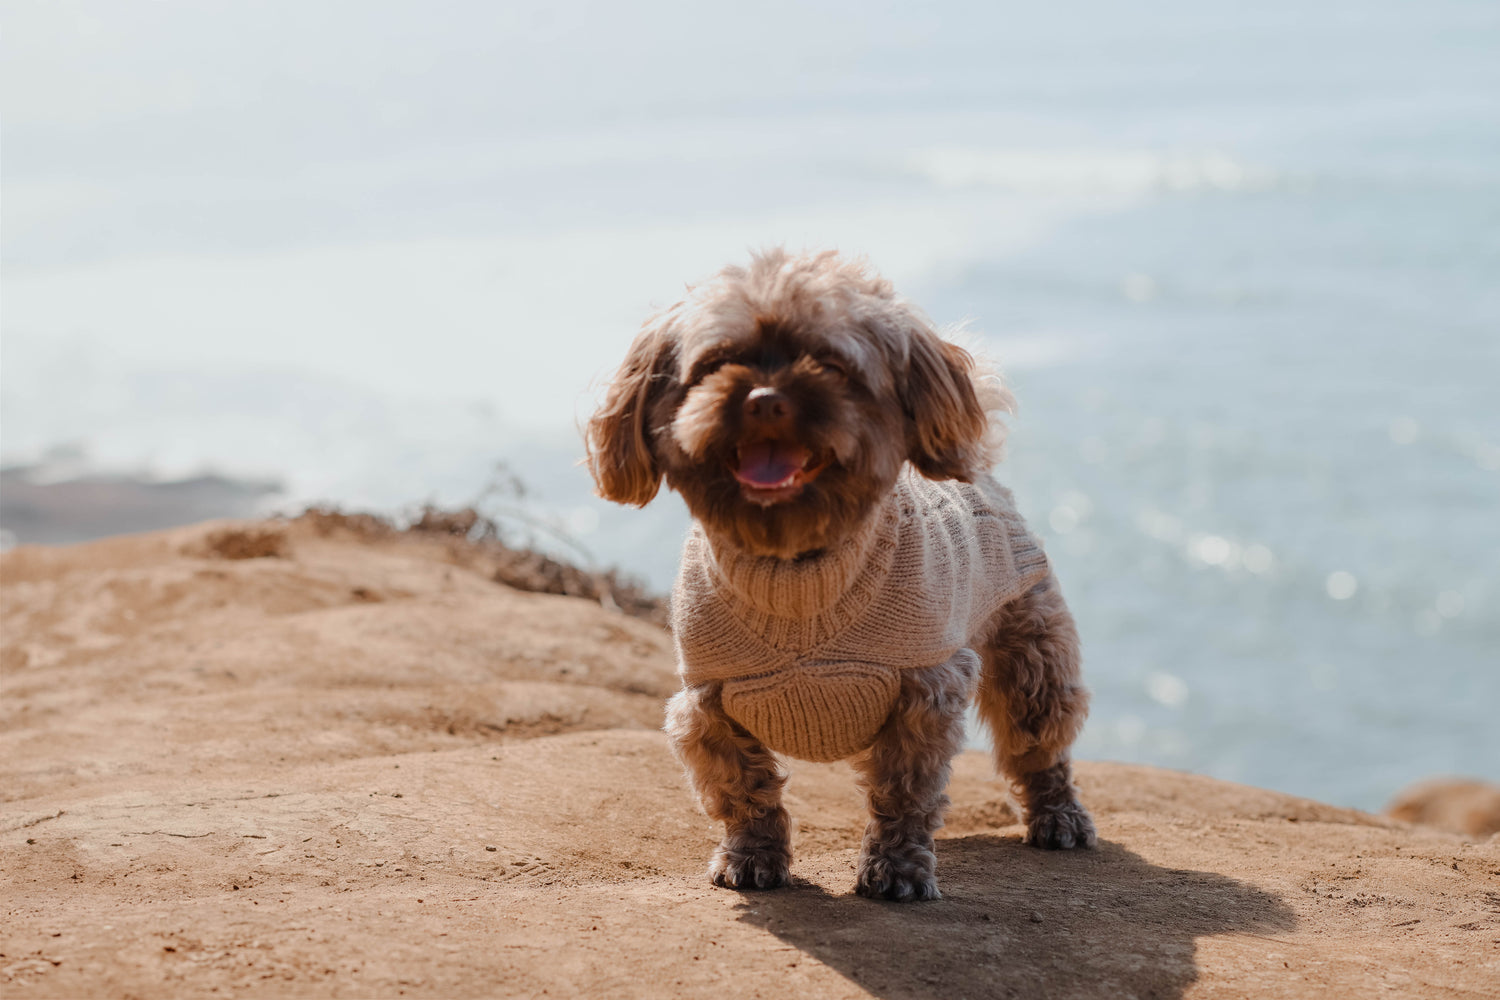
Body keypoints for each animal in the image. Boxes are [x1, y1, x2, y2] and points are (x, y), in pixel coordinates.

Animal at [591, 248, 1098, 899]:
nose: (765, 399)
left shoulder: (924, 693)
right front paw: (751, 856)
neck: (796, 571)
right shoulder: (706, 706)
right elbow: (743, 787)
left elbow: (905, 792)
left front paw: (896, 869)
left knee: (1040, 739)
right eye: (718, 362)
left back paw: (1059, 816)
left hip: (1031, 649)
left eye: (829, 362)